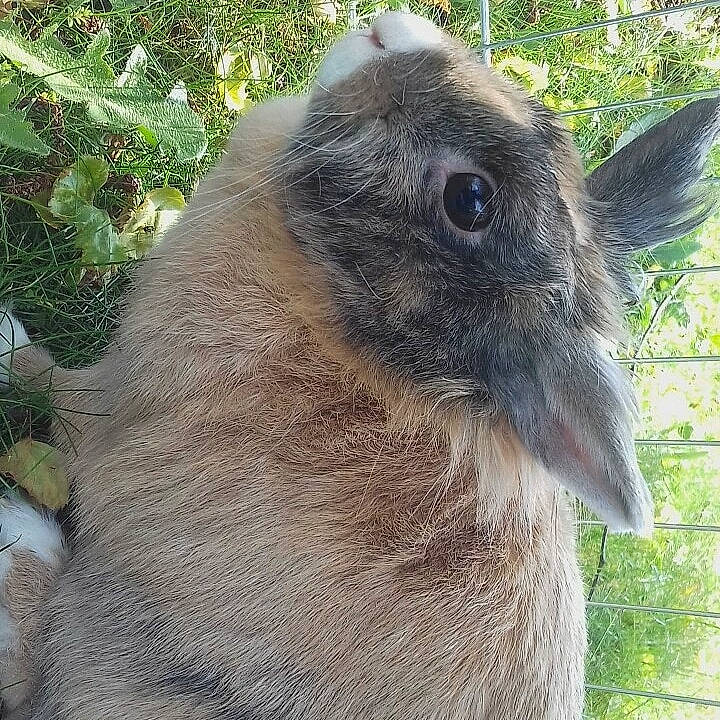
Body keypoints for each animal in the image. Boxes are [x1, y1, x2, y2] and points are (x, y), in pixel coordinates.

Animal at [0, 10, 719, 720]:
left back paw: (20, 534)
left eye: (471, 200)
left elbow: (46, 378)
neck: (361, 341)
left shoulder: (102, 407)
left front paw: (8, 330)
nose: (390, 31)